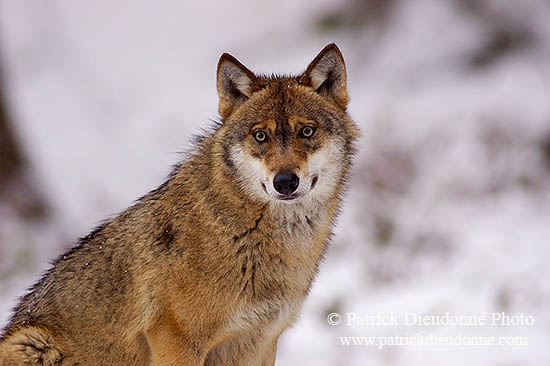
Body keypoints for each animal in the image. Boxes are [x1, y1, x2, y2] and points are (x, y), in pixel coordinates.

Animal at [0, 44, 360, 364]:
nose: (285, 182)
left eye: (307, 131)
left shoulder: (260, 343)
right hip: (31, 343)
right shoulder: (177, 340)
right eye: (260, 136)